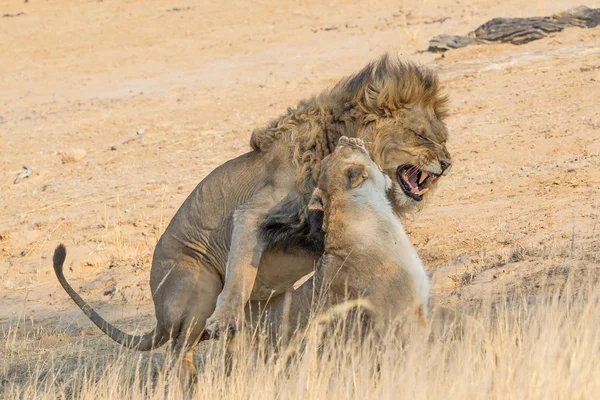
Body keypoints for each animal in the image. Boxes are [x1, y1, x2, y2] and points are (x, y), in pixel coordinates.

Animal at [55, 54, 450, 378]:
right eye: (421, 136)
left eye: (443, 139)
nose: (447, 163)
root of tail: (158, 312)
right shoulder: (251, 212)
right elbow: (239, 275)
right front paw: (225, 315)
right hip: (194, 288)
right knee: (179, 352)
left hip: (263, 309)